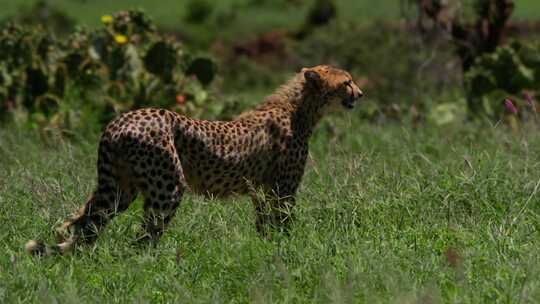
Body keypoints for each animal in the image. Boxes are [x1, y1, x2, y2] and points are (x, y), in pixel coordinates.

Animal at [25, 65, 362, 255]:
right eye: (346, 82)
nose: (360, 94)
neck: (301, 108)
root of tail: (119, 120)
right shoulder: (282, 189)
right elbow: (284, 222)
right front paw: (288, 248)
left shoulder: (262, 190)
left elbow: (264, 225)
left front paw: (268, 250)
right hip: (168, 186)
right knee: (142, 237)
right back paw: (152, 269)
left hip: (119, 189)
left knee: (86, 225)